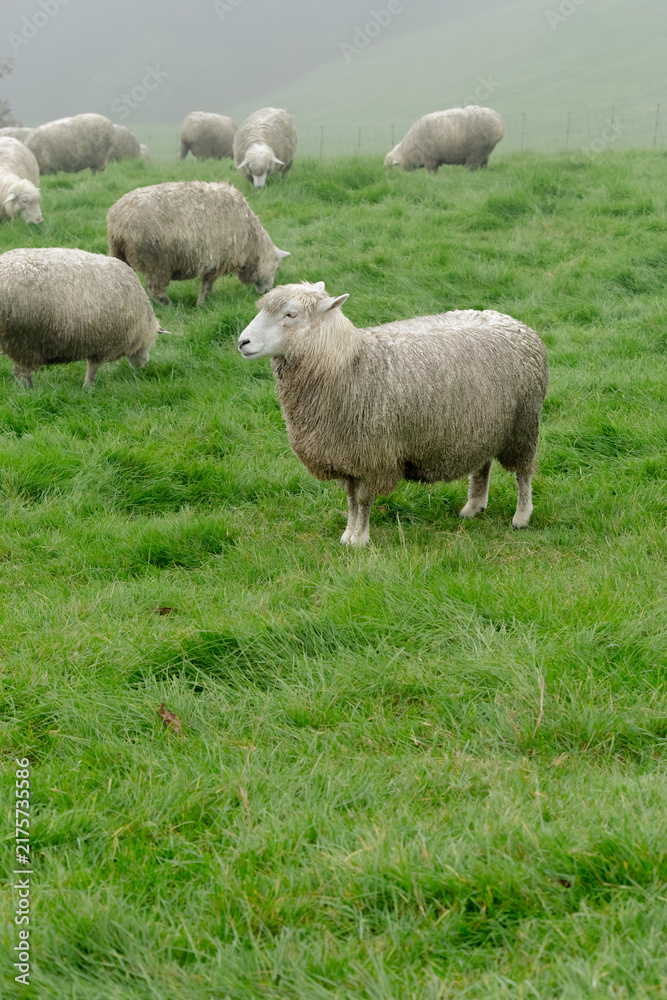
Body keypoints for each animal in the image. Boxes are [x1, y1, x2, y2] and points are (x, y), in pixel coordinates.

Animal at [0, 248, 165, 388]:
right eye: (151, 344)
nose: (143, 367)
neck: (142, 323)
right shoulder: (103, 344)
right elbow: (93, 369)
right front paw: (88, 388)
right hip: (23, 340)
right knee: (20, 372)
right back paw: (29, 390)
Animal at [107, 180, 290, 306]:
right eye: (277, 268)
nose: (266, 292)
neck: (252, 244)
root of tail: (119, 222)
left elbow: (209, 285)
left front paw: (209, 298)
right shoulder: (218, 261)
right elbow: (206, 283)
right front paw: (201, 303)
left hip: (120, 254)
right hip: (156, 263)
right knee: (155, 290)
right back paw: (169, 305)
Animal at [238, 282, 548, 546]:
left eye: (291, 314)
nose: (242, 342)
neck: (347, 363)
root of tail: (514, 322)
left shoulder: (374, 456)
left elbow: (363, 500)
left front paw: (359, 539)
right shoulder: (347, 456)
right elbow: (351, 499)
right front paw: (348, 535)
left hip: (522, 424)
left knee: (523, 473)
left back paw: (521, 516)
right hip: (484, 425)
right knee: (482, 465)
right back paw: (474, 506)